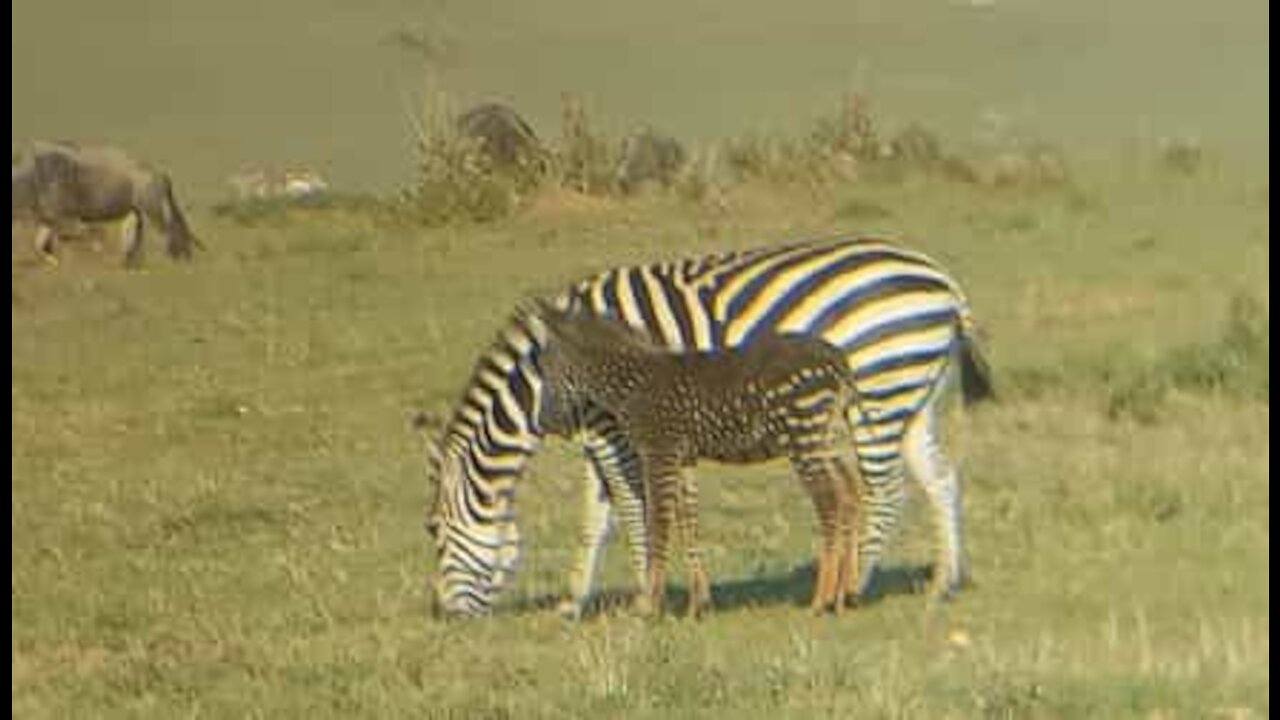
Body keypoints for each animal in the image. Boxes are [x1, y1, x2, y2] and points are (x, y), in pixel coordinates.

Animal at [532, 299, 870, 614]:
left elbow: (658, 524)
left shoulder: (659, 452)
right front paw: (698, 604)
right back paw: (844, 595)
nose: (545, 423)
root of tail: (837, 358)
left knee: (830, 500)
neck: (630, 384)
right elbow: (688, 524)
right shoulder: (684, 459)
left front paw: (648, 606)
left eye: (547, 367)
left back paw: (821, 600)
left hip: (803, 436)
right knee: (851, 493)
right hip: (830, 440)